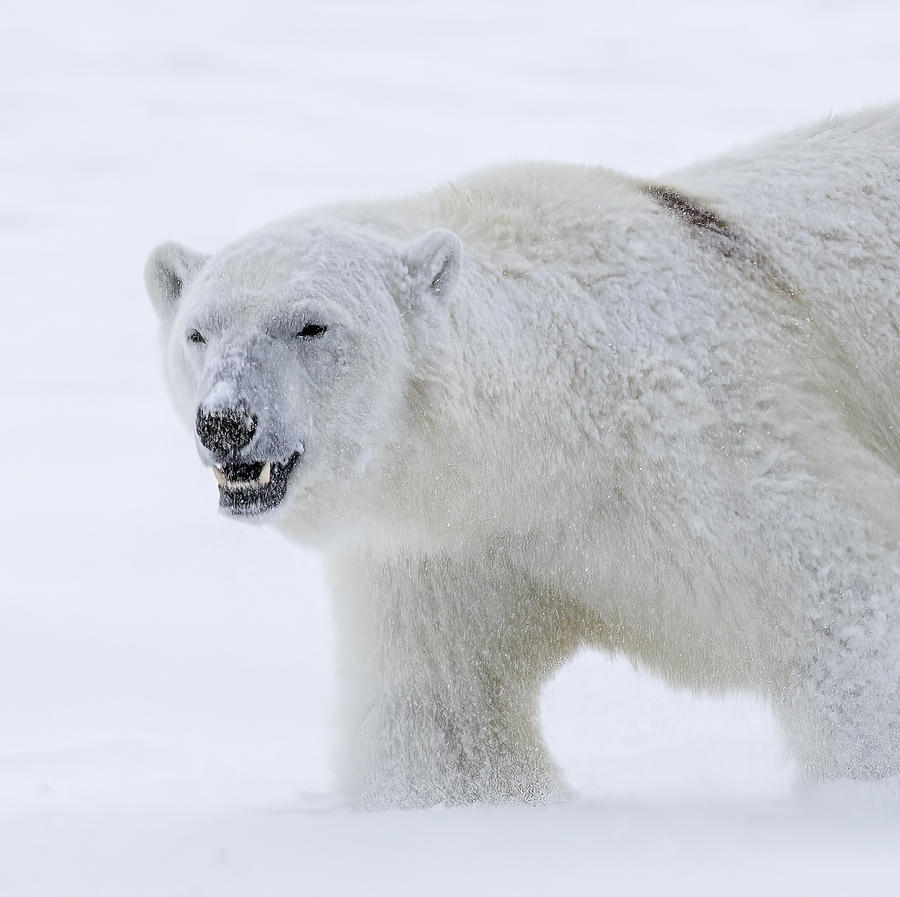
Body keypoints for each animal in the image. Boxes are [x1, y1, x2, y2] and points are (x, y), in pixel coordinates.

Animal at [144, 103, 896, 804]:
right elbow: (446, 712)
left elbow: (848, 604)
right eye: (199, 333)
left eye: (311, 325)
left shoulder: (709, 442)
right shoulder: (441, 548)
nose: (226, 422)